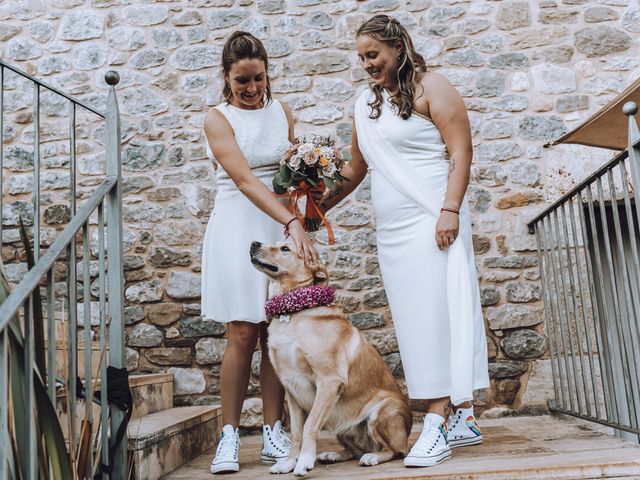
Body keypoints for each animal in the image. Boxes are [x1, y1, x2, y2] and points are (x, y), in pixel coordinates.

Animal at [249, 240, 410, 476]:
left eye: (285, 248)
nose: (253, 243)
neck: (293, 312)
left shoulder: (328, 381)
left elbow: (309, 426)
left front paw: (303, 462)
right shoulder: (291, 388)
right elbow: (296, 432)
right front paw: (289, 462)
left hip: (382, 411)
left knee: (395, 450)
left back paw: (373, 457)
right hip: (342, 426)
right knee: (355, 451)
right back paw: (332, 455)